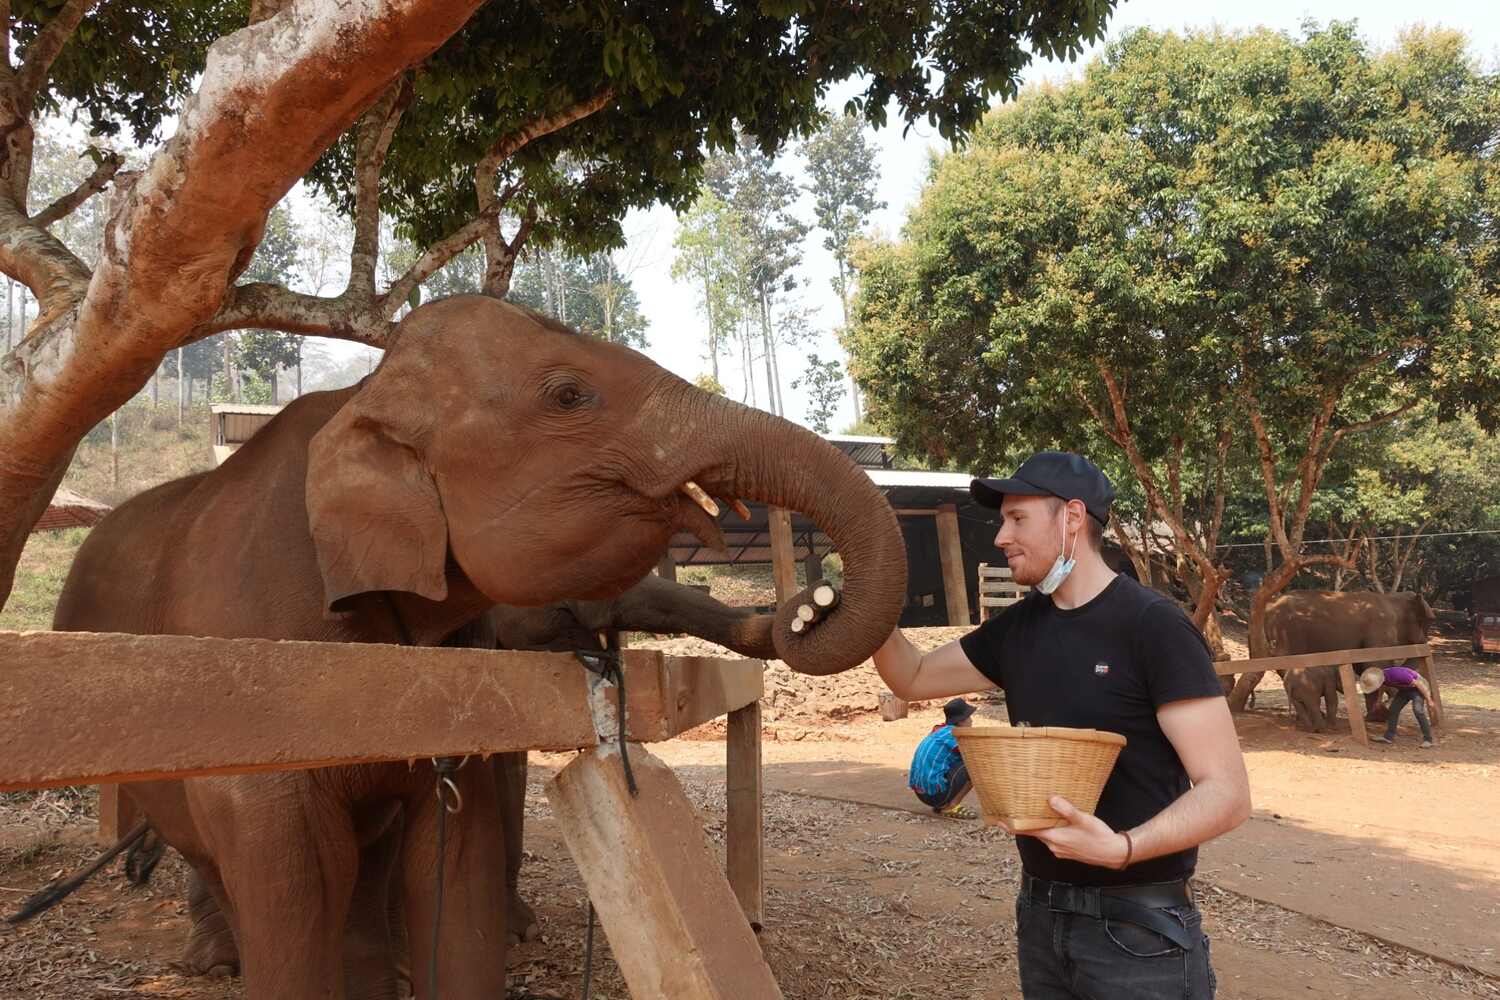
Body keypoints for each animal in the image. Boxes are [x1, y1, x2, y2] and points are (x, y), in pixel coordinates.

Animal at [46, 296, 906, 1000]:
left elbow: (454, 854)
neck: (360, 398)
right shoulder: (251, 682)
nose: (810, 604)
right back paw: (213, 961)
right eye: (570, 395)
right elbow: (292, 879)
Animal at [1272, 590, 1434, 731]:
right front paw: (1378, 716)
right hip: (1288, 634)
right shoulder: (1380, 629)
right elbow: (1376, 664)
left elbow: (1364, 666)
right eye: (1429, 621)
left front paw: (1376, 717)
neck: (1391, 598)